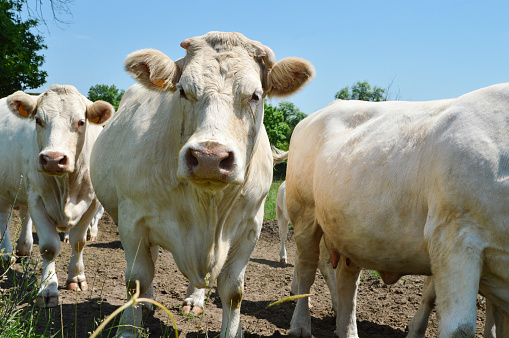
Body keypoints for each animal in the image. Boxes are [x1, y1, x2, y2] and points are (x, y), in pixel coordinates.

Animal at [0, 84, 114, 306]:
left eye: (81, 121)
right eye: (38, 120)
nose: (53, 159)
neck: (66, 188)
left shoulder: (92, 202)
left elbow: (79, 241)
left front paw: (76, 278)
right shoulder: (37, 198)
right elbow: (49, 247)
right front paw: (48, 289)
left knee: (23, 214)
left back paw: (24, 247)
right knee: (5, 218)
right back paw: (6, 255)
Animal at [91, 32, 314, 338]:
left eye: (255, 95)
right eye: (183, 91)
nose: (210, 157)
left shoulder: (250, 227)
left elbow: (233, 291)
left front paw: (232, 330)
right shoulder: (132, 220)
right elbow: (136, 279)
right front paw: (128, 329)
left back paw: (194, 300)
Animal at [286, 83, 509, 336]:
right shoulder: (454, 239)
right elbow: (458, 328)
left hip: (350, 234)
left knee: (347, 282)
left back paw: (348, 330)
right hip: (304, 215)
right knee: (307, 269)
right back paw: (300, 326)